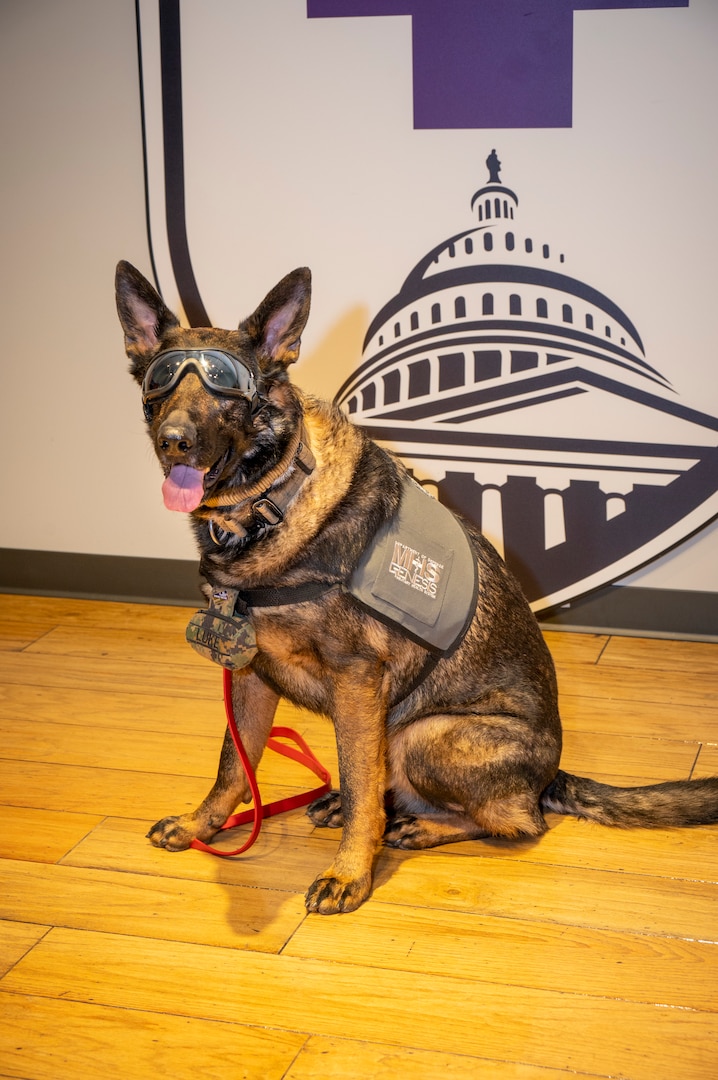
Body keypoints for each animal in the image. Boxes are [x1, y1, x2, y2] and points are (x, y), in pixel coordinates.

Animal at [116, 259, 716, 911]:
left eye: (225, 387)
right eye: (160, 382)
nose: (173, 440)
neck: (275, 503)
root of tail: (548, 777)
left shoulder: (357, 682)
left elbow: (359, 784)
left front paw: (350, 872)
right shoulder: (249, 676)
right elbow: (233, 766)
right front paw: (200, 826)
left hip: (424, 734)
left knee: (514, 822)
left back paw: (420, 826)